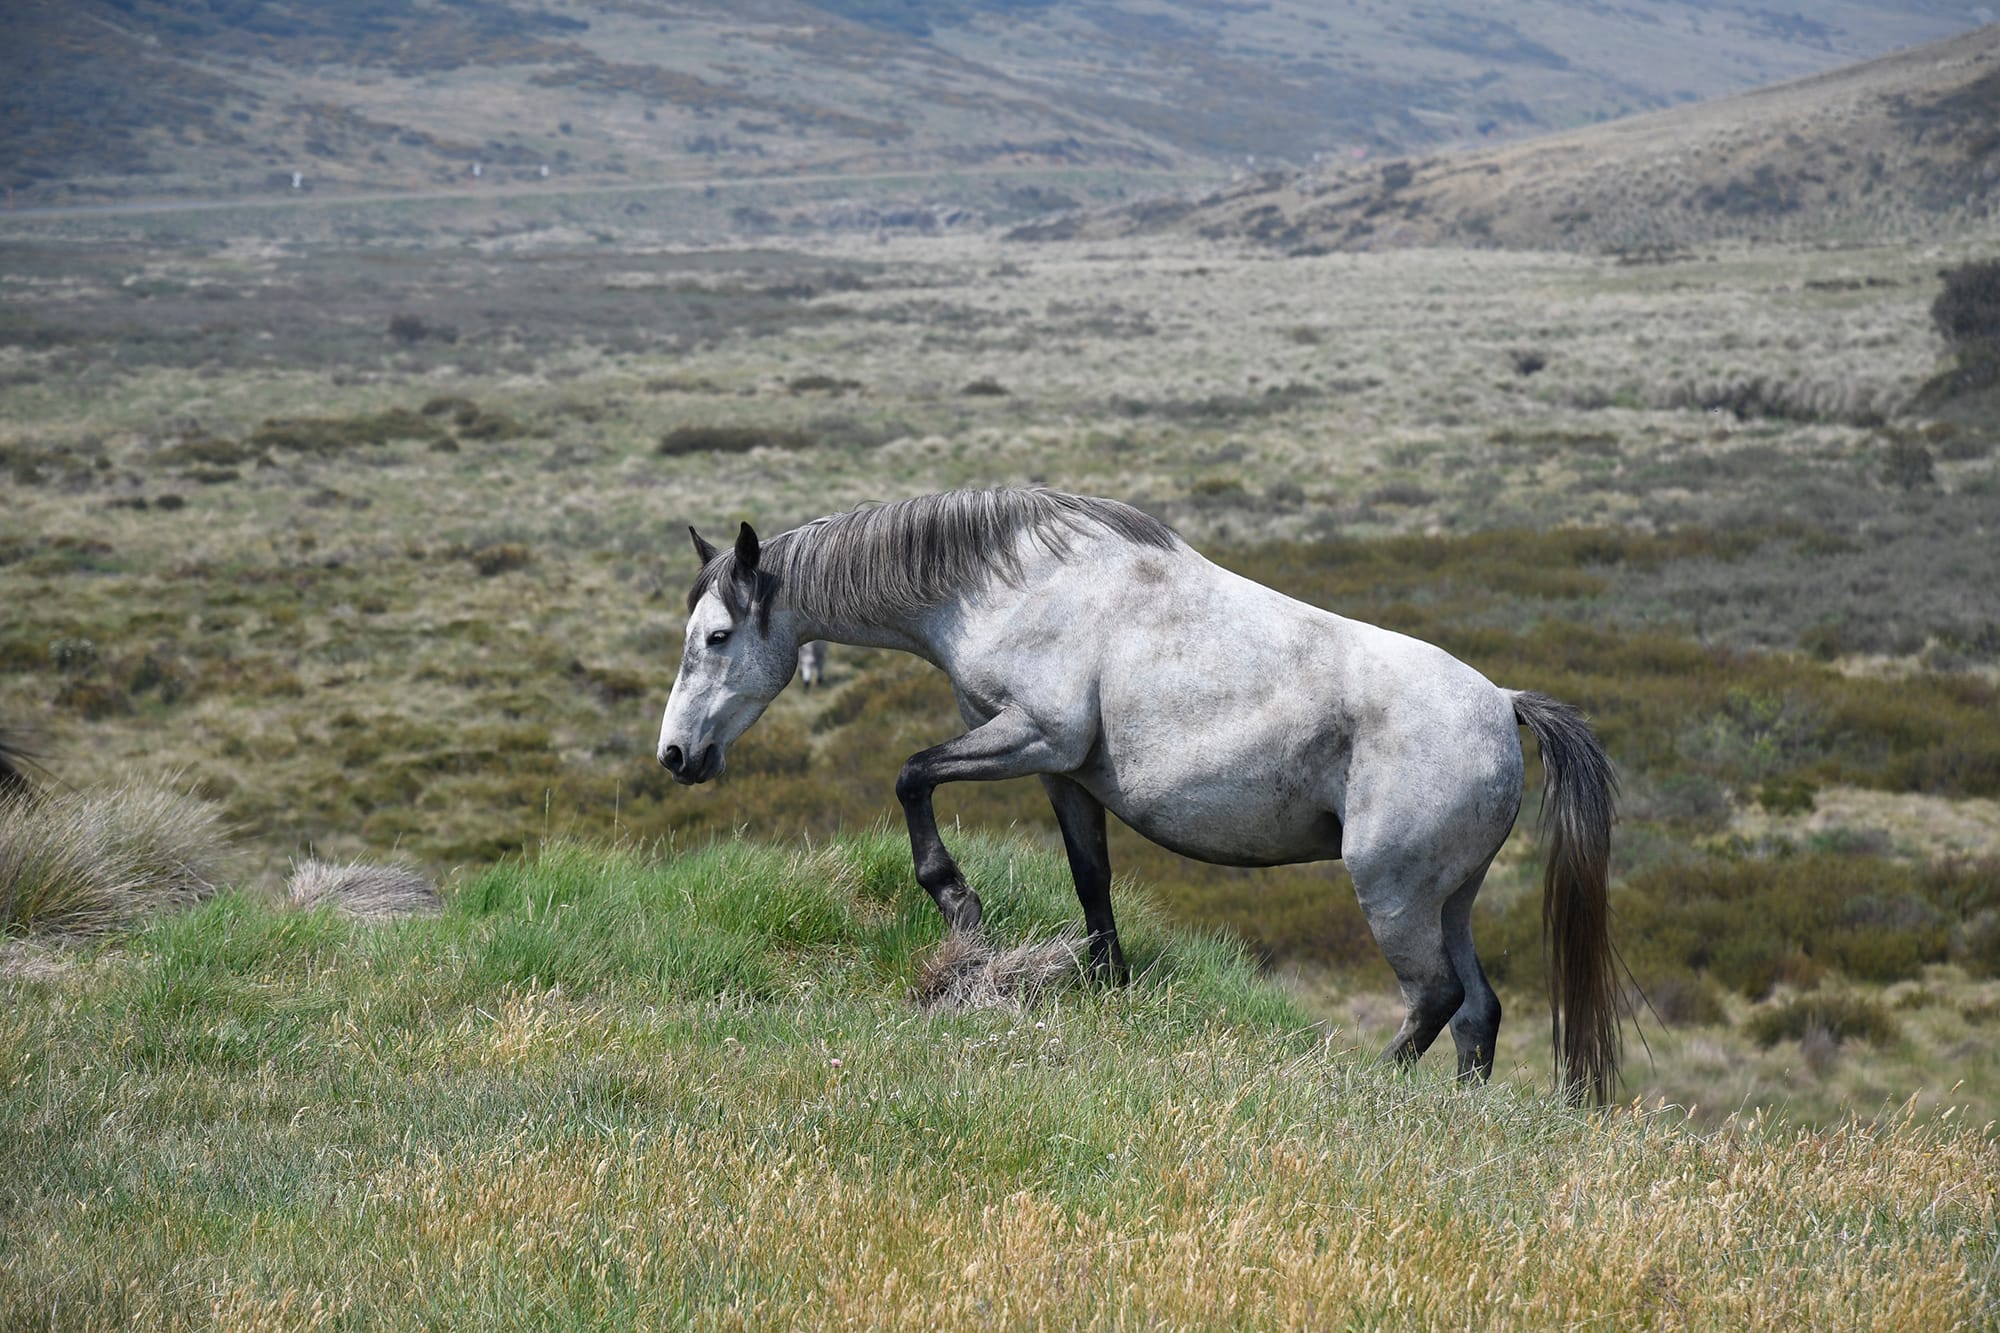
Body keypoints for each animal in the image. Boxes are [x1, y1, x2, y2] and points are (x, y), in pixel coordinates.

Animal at [655, 487, 1620, 1103]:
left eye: (718, 635)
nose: (675, 754)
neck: (1014, 584)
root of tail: (1502, 705)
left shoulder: (1033, 736)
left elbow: (911, 774)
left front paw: (958, 903)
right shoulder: (1064, 771)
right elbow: (1093, 882)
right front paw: (1108, 988)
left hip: (1394, 892)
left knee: (1436, 998)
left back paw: (1359, 1086)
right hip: (1449, 897)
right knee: (1479, 1011)